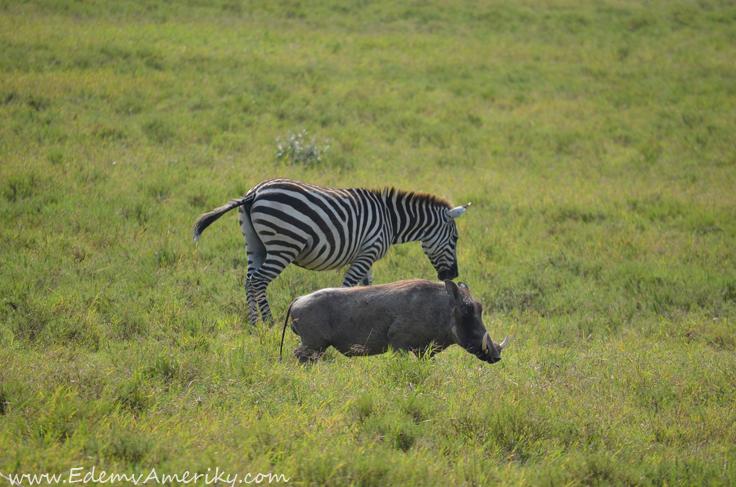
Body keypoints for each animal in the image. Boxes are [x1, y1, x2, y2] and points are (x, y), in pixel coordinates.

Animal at [194, 177, 472, 326]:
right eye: (455, 238)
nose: (453, 274)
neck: (390, 220)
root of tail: (253, 193)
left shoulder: (366, 255)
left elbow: (368, 287)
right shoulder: (366, 253)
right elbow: (348, 288)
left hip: (254, 244)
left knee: (248, 280)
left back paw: (254, 327)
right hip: (284, 246)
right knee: (258, 282)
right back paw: (269, 324)